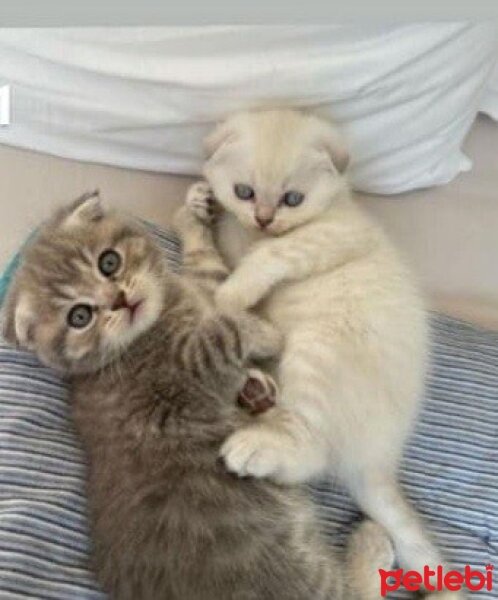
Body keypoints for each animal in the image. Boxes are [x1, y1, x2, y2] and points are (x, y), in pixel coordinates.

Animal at [1, 192, 392, 600]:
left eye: (109, 262)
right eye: (79, 317)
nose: (119, 300)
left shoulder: (202, 290)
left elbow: (209, 269)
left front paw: (190, 218)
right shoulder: (187, 366)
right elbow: (227, 329)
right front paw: (266, 333)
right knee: (351, 594)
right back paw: (372, 542)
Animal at [187, 110, 462, 596]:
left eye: (292, 199)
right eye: (245, 192)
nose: (264, 218)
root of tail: (378, 459)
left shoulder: (335, 236)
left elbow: (271, 256)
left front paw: (231, 295)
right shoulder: (241, 239)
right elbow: (233, 246)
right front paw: (199, 203)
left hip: (318, 350)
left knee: (313, 451)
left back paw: (252, 448)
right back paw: (255, 392)